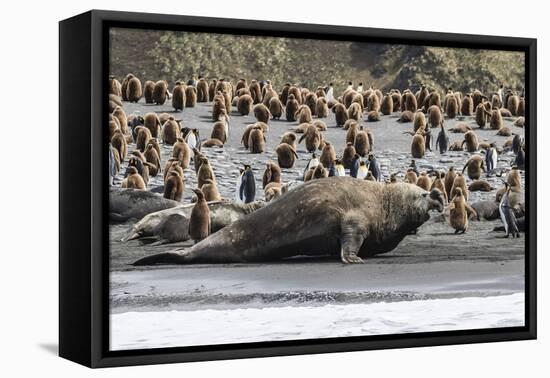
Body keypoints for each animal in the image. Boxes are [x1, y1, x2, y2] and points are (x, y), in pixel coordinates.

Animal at [135, 178, 448, 264]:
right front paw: (352, 259)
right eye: (422, 193)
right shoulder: (354, 220)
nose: (437, 195)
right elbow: (350, 237)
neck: (386, 202)